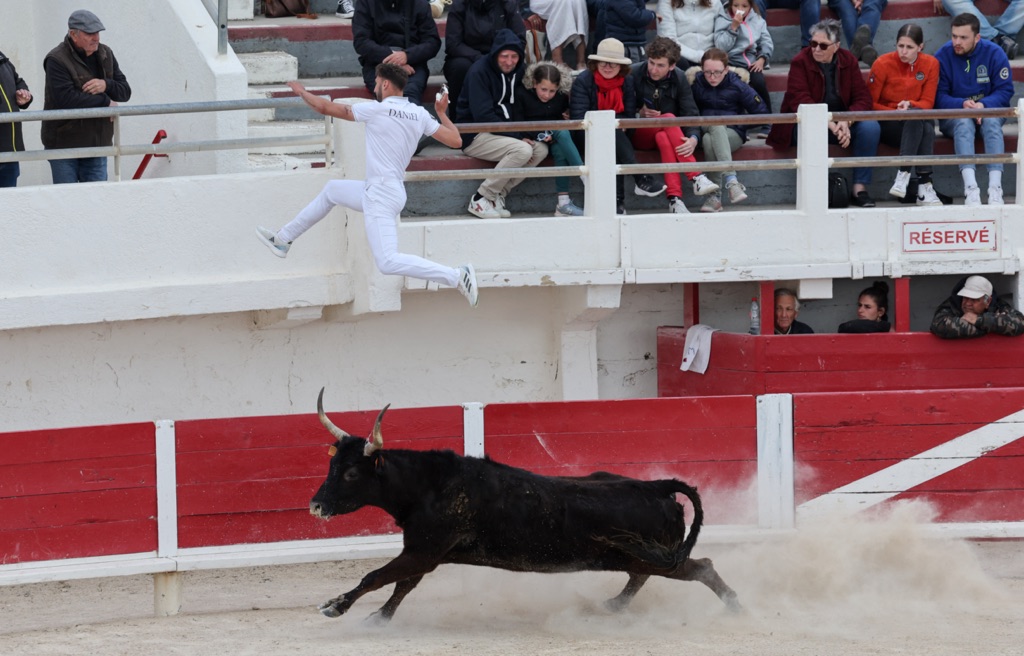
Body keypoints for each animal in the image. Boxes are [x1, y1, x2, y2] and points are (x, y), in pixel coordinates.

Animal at [307, 390, 741, 622]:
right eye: (332, 464)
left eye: (351, 473)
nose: (315, 505)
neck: (428, 485)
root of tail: (658, 486)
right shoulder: (424, 553)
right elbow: (401, 584)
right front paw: (377, 619)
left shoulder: (423, 551)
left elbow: (377, 576)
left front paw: (336, 607)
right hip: (644, 555)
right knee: (645, 577)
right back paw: (611, 605)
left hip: (657, 555)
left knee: (700, 568)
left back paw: (736, 608)